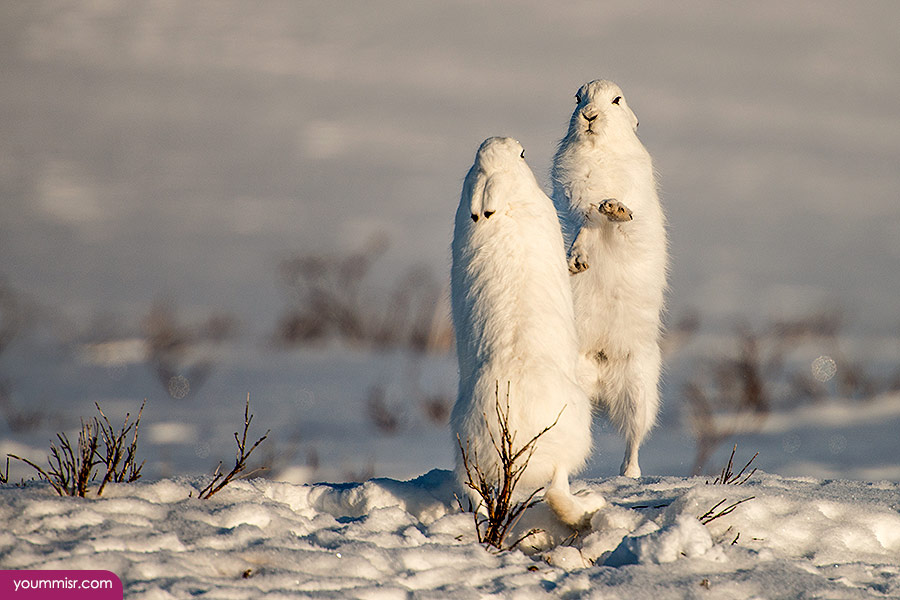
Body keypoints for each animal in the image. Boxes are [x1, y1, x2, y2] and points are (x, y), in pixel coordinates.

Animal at [551, 80, 668, 478]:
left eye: (616, 100)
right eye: (577, 99)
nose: (589, 116)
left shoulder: (633, 205)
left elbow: (620, 224)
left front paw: (614, 209)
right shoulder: (577, 199)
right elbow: (585, 225)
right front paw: (577, 261)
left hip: (640, 388)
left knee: (634, 439)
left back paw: (629, 475)